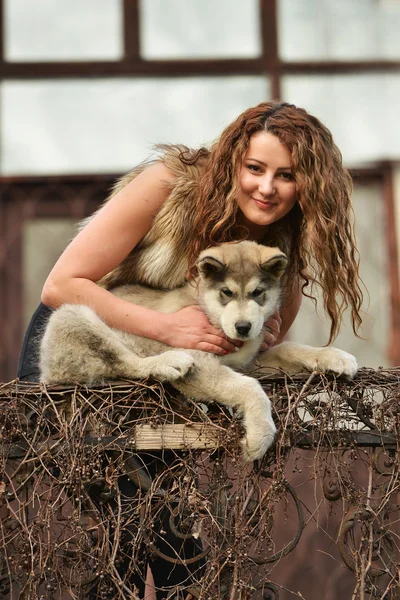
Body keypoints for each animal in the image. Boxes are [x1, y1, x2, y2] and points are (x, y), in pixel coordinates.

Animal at [40, 241, 358, 462]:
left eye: (257, 293)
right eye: (226, 293)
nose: (243, 327)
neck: (210, 313)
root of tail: (45, 373)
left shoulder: (248, 361)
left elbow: (290, 348)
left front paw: (334, 356)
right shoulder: (205, 363)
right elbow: (251, 388)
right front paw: (259, 435)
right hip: (74, 315)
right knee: (124, 361)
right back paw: (167, 363)